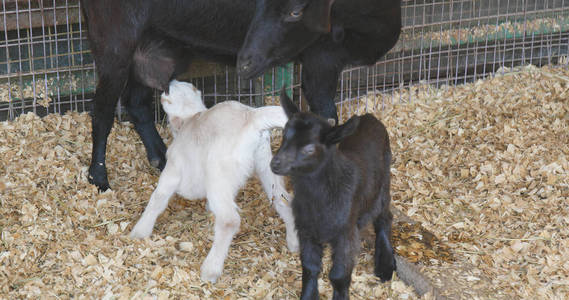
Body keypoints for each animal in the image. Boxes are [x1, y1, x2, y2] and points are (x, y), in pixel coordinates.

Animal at [80, 0, 400, 190]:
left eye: (295, 11)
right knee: (103, 110)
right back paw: (99, 177)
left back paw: (161, 157)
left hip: (154, 45)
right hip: (114, 38)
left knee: (137, 102)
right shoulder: (321, 58)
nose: (245, 62)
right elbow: (327, 117)